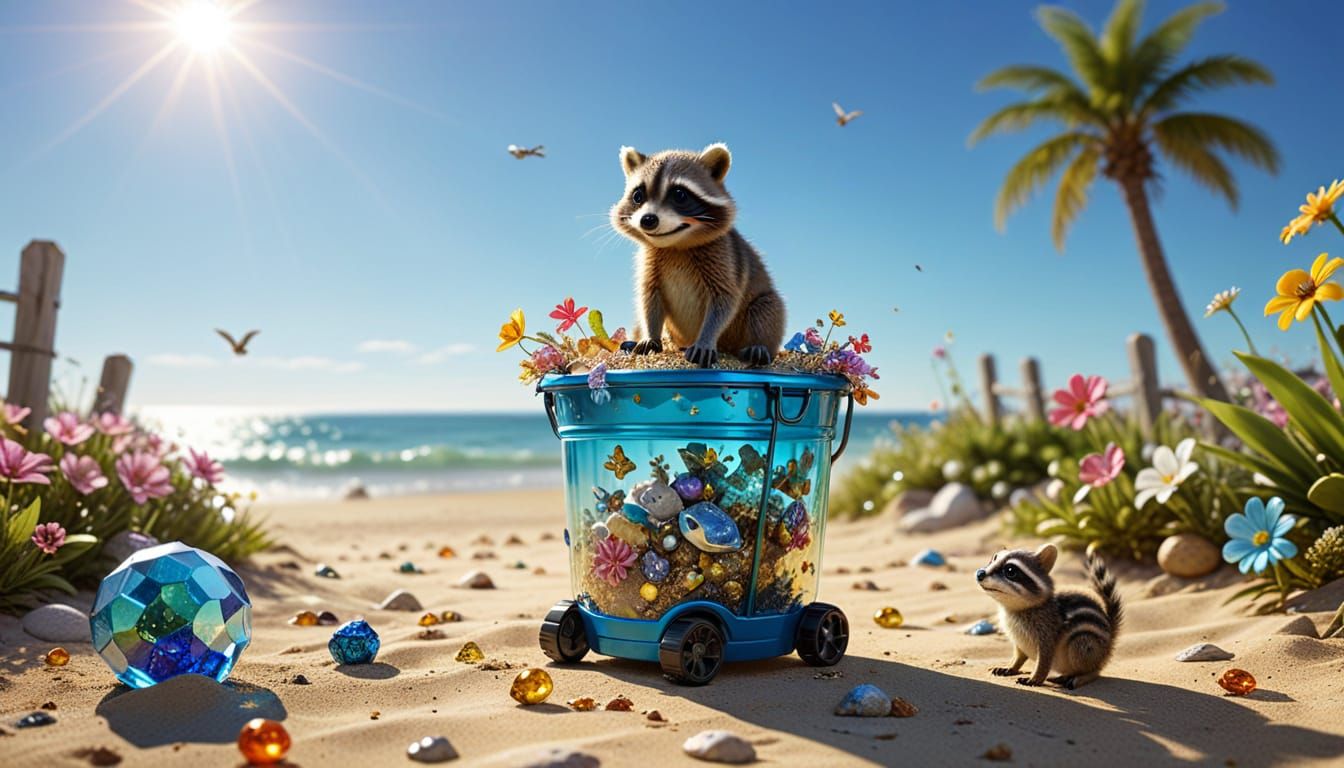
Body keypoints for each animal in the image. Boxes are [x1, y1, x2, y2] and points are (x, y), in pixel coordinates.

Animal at [610, 143, 785, 367]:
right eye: (638, 196)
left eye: (679, 195)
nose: (648, 220)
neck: (675, 245)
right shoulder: (650, 262)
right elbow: (649, 298)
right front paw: (650, 336)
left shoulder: (724, 257)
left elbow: (724, 300)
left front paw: (705, 340)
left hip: (758, 313)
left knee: (767, 308)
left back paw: (759, 346)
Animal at [976, 544, 1123, 690]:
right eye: (993, 558)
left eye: (1010, 570)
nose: (980, 573)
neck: (1014, 610)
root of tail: (1110, 642)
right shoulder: (1019, 641)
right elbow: (1018, 657)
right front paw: (1009, 668)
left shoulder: (1047, 635)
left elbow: (1043, 662)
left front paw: (1034, 679)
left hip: (1083, 642)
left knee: (1095, 671)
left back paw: (1079, 678)